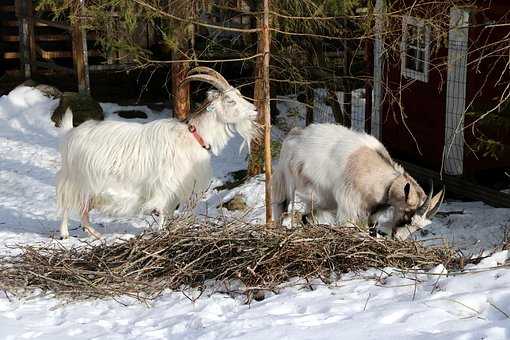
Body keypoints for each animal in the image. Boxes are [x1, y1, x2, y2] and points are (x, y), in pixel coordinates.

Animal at [56, 66, 258, 239]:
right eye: (230, 100)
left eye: (239, 95)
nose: (255, 110)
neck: (192, 136)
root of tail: (70, 133)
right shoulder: (165, 186)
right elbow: (162, 212)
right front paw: (161, 232)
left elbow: (168, 212)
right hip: (74, 180)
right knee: (66, 204)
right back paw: (64, 234)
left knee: (83, 214)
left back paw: (97, 236)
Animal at [272, 123, 444, 239]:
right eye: (409, 216)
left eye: (419, 228)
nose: (398, 238)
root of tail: (294, 136)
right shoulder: (348, 208)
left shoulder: (373, 211)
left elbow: (372, 229)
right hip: (290, 188)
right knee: (284, 211)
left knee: (304, 217)